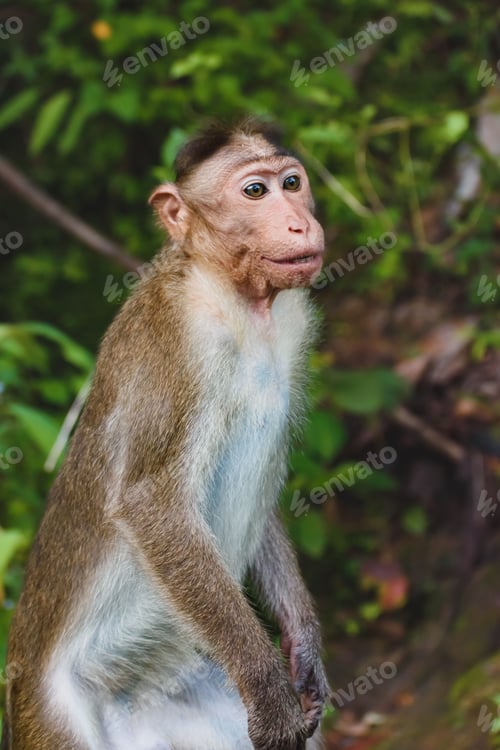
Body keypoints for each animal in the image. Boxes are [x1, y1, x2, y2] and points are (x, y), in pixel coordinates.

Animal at [1, 117, 329, 750]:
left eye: (292, 183)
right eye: (255, 191)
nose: (299, 221)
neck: (232, 294)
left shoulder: (293, 323)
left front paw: (304, 643)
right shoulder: (179, 341)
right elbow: (151, 503)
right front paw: (273, 693)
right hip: (48, 713)